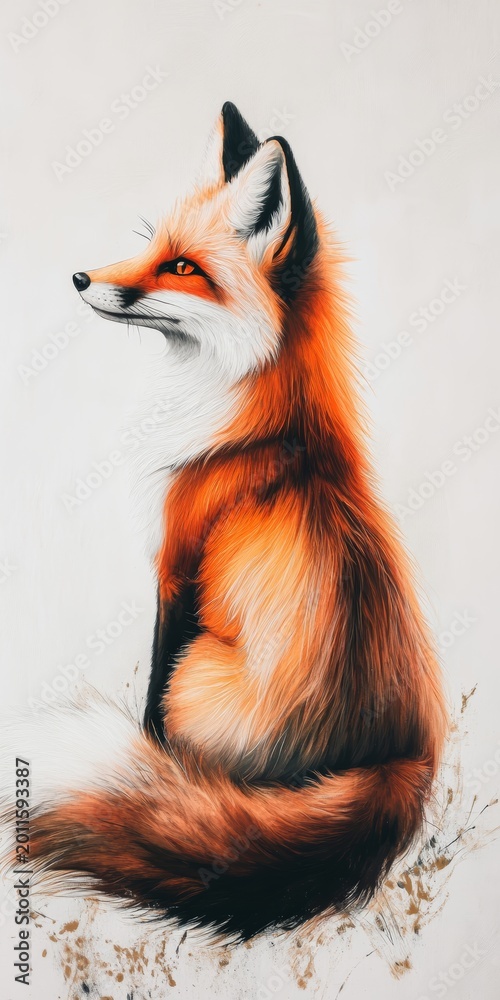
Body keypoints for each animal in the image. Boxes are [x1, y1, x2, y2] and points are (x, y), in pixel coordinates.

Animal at [5, 103, 447, 941]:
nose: (79, 277)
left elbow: (149, 692)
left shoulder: (176, 568)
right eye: (150, 246)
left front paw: (151, 767)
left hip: (201, 670)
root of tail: (401, 758)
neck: (255, 422)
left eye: (182, 268)